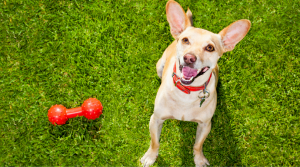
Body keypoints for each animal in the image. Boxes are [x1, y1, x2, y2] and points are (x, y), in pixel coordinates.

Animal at [141, 0, 251, 166]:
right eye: (186, 40)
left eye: (210, 47)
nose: (189, 58)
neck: (187, 92)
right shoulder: (156, 119)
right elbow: (155, 142)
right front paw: (150, 156)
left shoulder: (205, 124)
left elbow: (198, 145)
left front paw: (199, 159)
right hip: (159, 66)